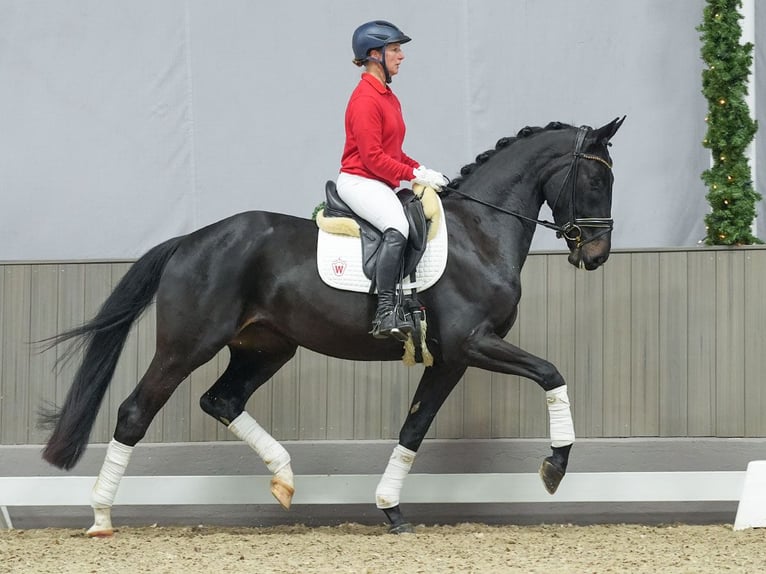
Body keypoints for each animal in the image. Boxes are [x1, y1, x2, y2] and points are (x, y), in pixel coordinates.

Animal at [40, 116, 624, 536]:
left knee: (222, 399)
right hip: (187, 346)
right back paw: (101, 517)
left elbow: (413, 428)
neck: (478, 233)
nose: (596, 256)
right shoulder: (474, 343)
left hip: (266, 348)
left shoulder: (450, 358)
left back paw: (284, 477)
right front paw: (555, 467)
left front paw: (390, 509)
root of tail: (192, 239)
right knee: (136, 411)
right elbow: (551, 373)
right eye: (597, 178)